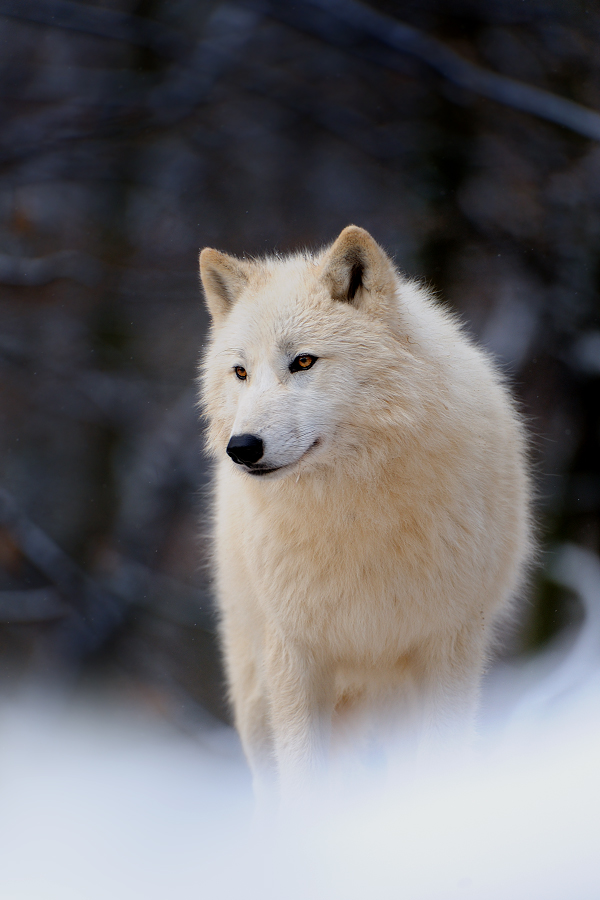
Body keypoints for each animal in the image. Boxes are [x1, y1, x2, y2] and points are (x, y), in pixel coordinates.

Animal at [199, 225, 532, 800]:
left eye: (303, 361)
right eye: (240, 371)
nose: (241, 448)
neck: (354, 513)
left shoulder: (448, 647)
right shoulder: (296, 655)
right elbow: (304, 784)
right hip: (257, 696)